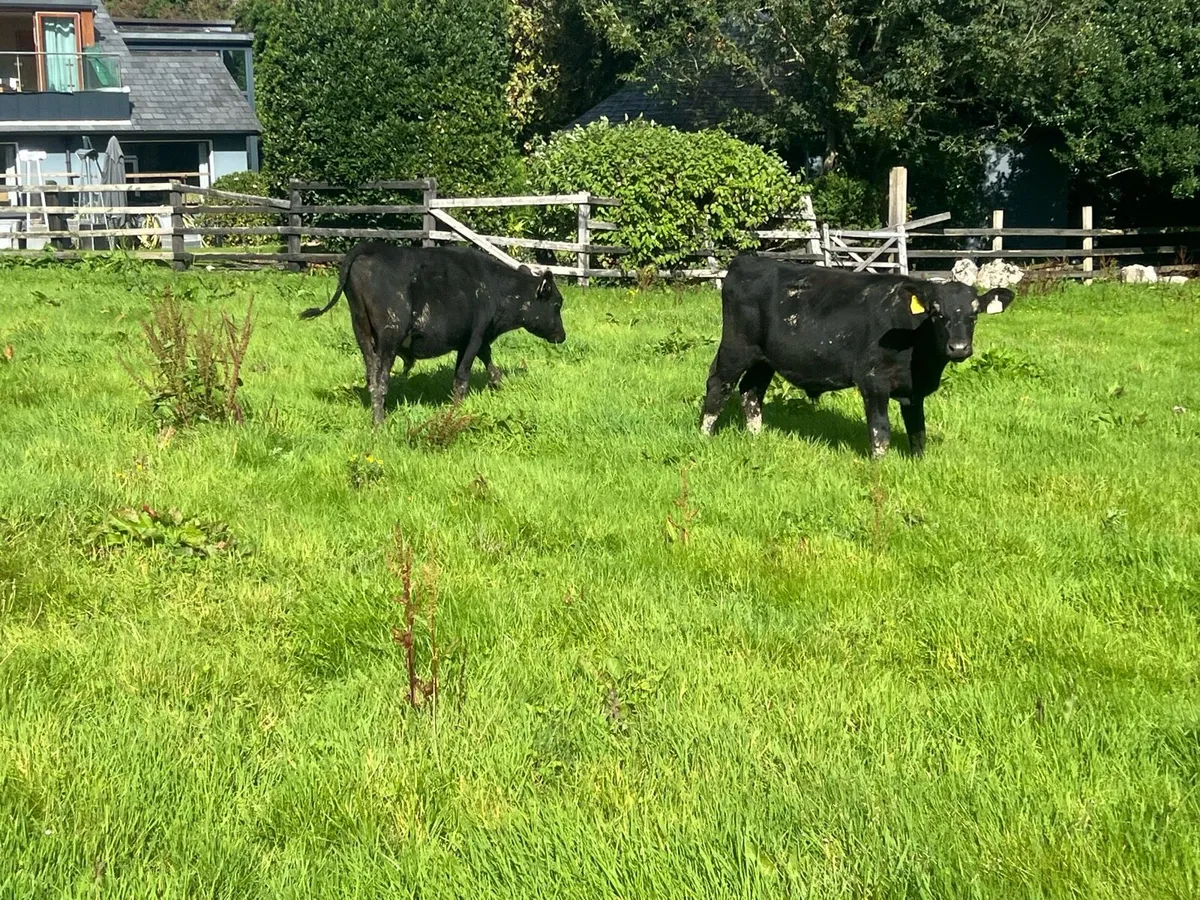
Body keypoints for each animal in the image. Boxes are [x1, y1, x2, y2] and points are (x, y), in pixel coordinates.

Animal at [300, 241, 566, 424]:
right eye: (557, 304)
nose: (562, 336)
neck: (495, 288)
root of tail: (373, 248)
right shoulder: (475, 336)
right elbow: (462, 376)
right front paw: (456, 411)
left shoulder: (476, 338)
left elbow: (490, 363)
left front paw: (498, 385)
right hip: (390, 336)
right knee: (381, 379)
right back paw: (379, 423)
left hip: (363, 334)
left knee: (372, 378)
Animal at [700, 255, 1017, 458]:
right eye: (937, 313)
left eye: (974, 315)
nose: (959, 348)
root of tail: (749, 260)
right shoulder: (873, 379)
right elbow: (880, 431)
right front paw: (880, 467)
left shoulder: (914, 390)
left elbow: (918, 431)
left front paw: (918, 463)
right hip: (736, 347)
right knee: (719, 385)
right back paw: (705, 435)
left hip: (764, 358)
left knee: (751, 391)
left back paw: (756, 436)